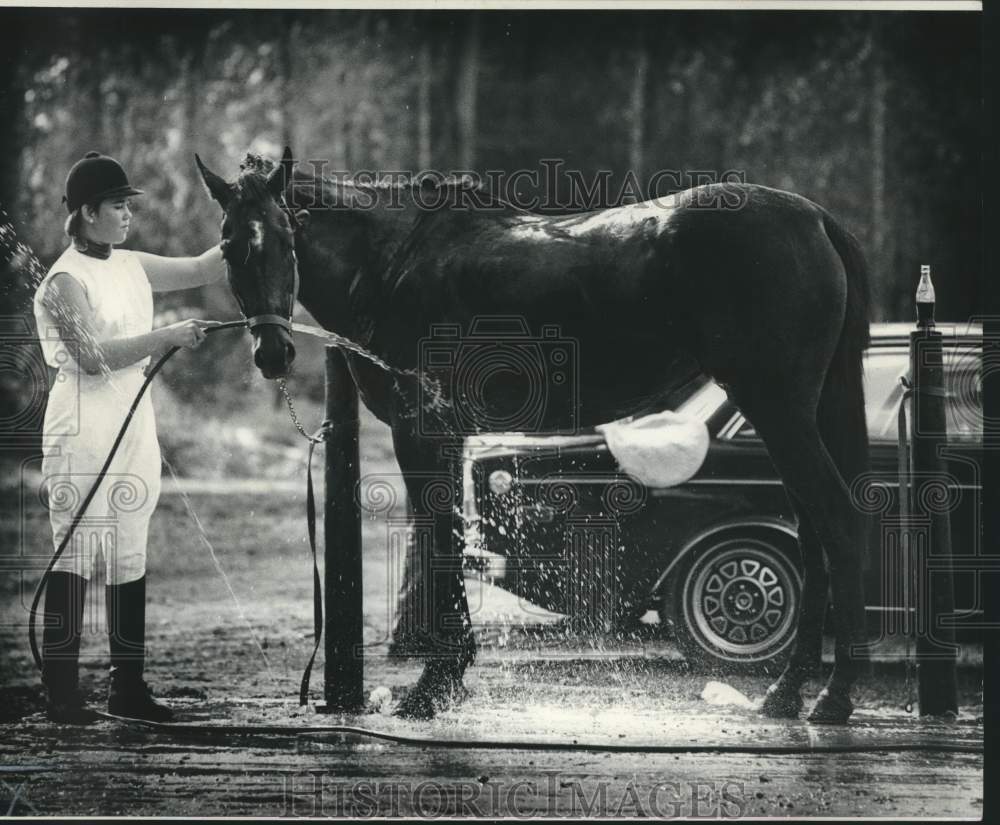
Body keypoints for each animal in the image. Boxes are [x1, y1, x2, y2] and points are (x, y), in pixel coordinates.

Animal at [195, 147, 871, 723]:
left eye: (286, 237)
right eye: (230, 247)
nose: (273, 353)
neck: (393, 261)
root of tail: (813, 217)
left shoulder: (423, 431)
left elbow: (441, 539)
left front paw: (435, 685)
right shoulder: (446, 438)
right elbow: (447, 539)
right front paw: (446, 678)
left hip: (779, 410)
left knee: (838, 522)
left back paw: (833, 697)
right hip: (790, 415)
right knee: (811, 534)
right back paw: (787, 692)